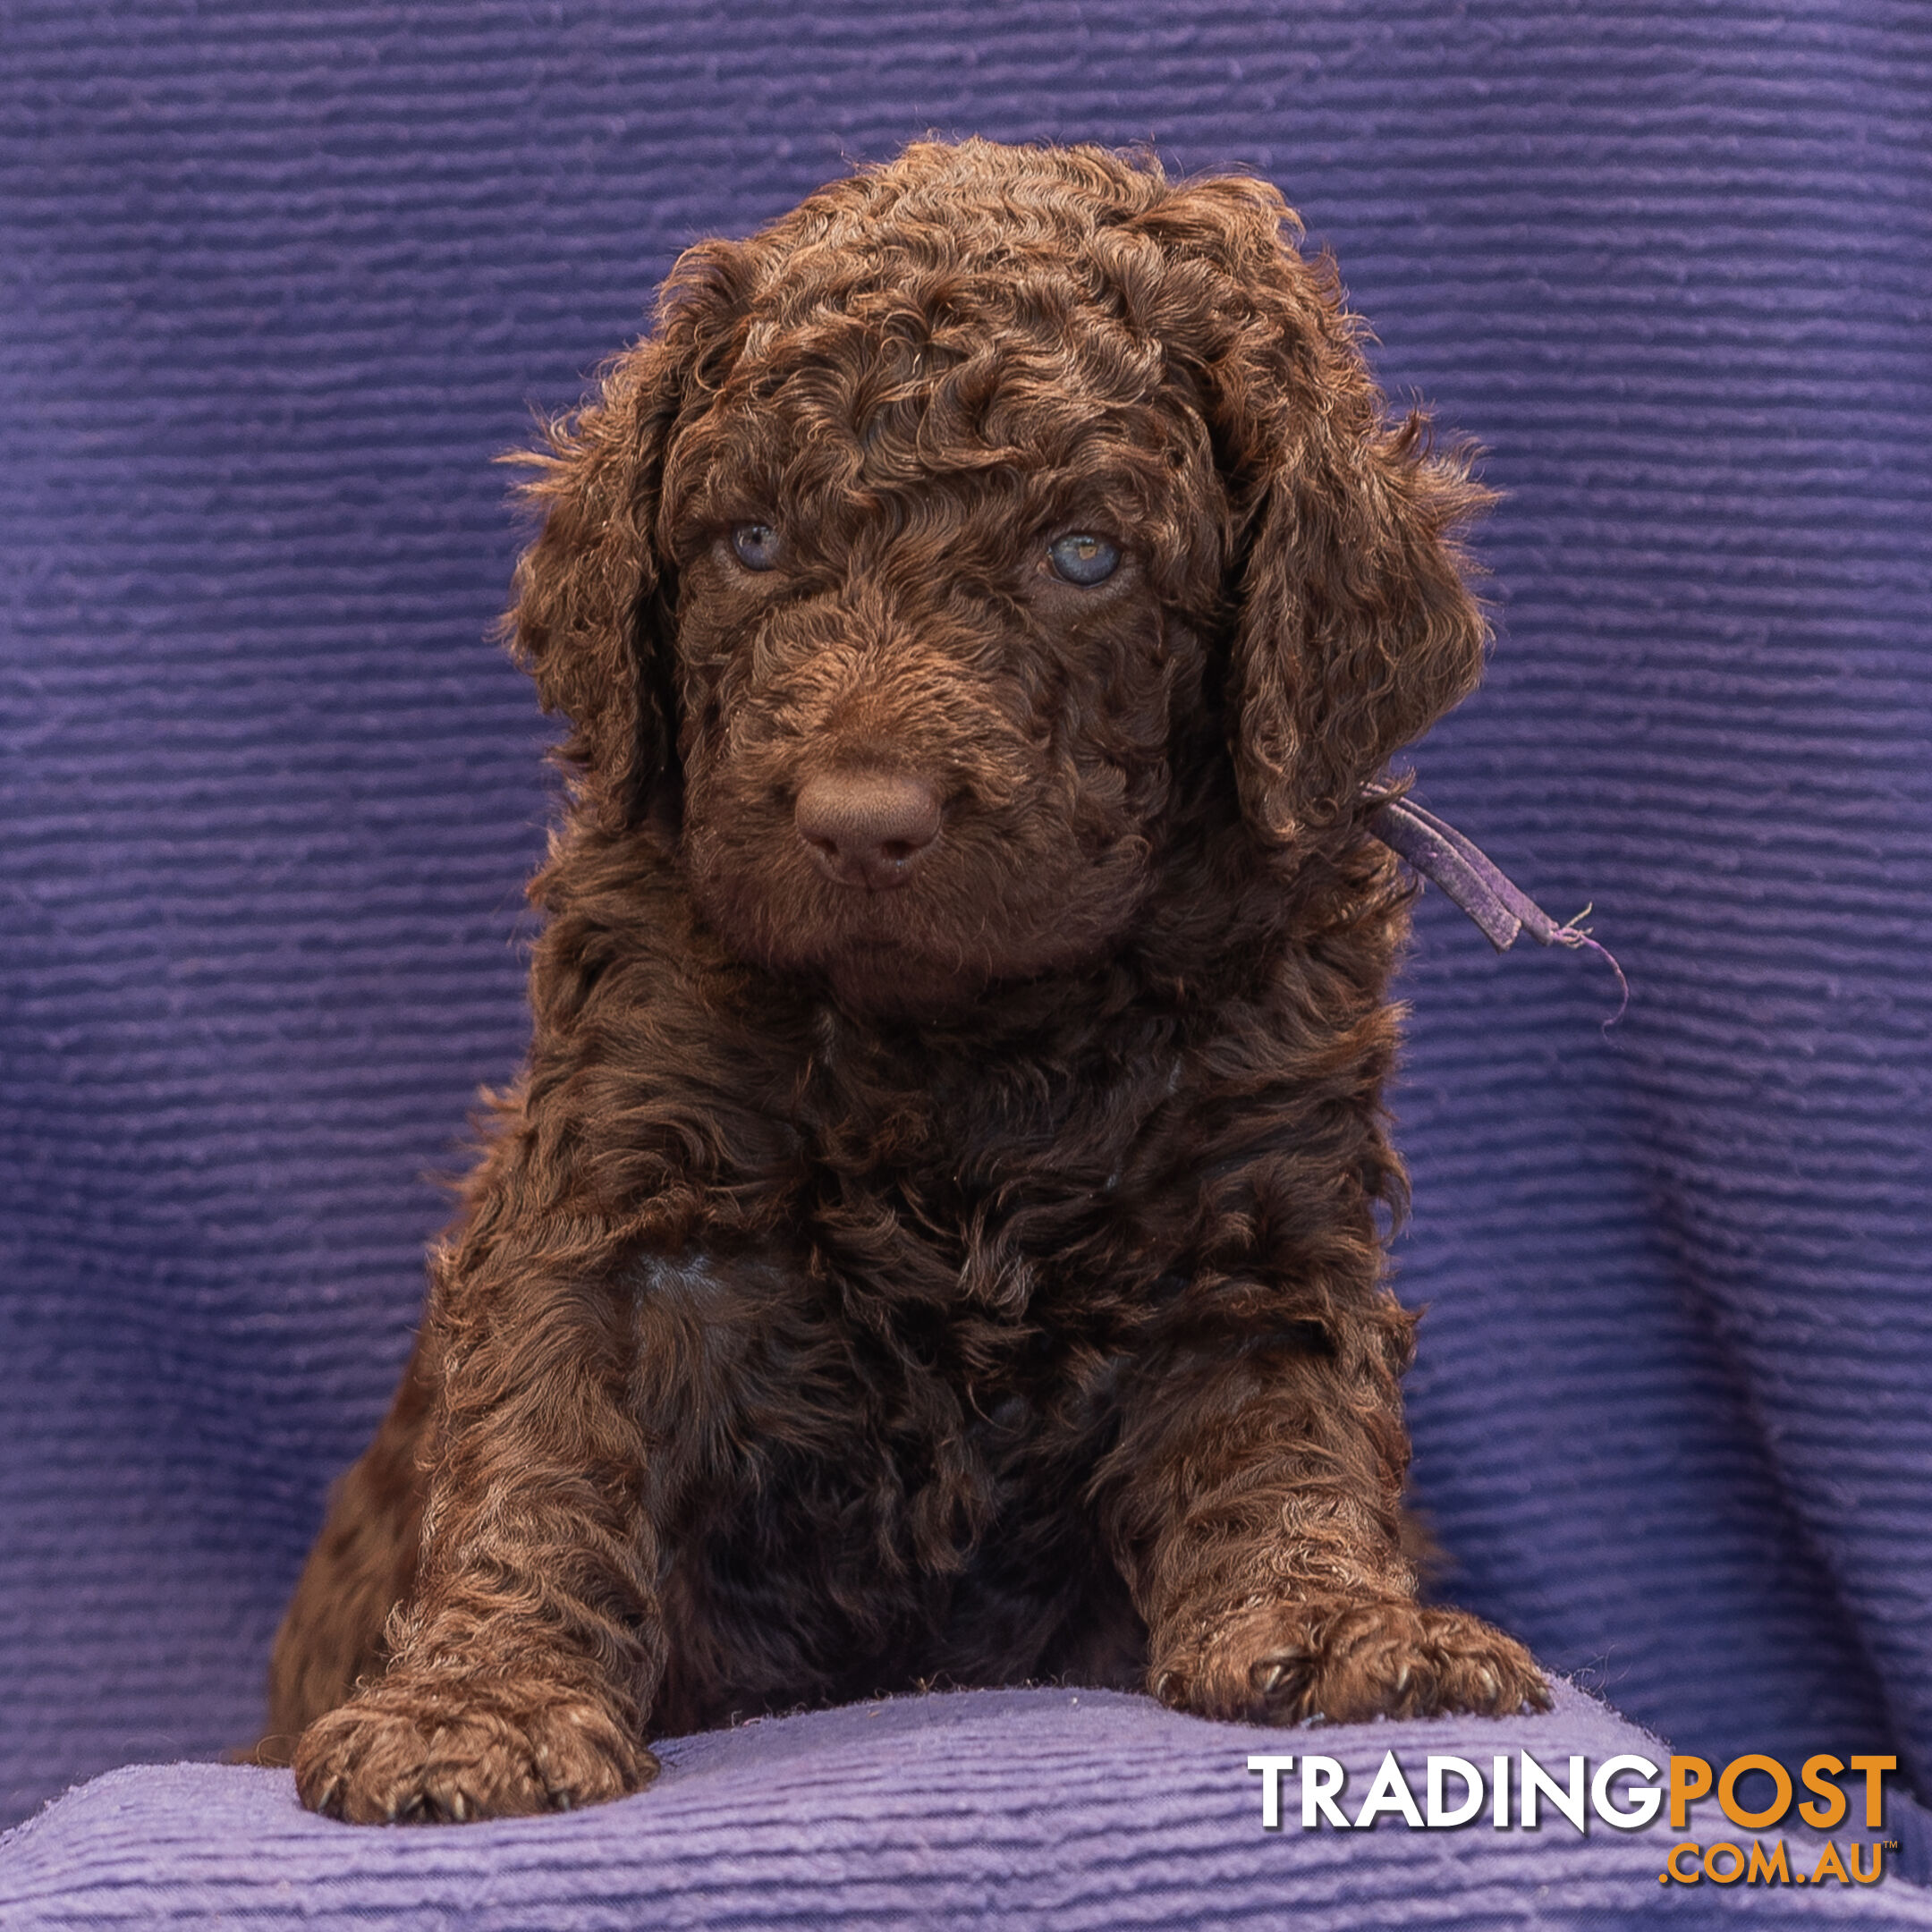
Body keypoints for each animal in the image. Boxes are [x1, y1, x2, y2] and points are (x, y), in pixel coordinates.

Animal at [264, 140, 1546, 1824]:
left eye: (1083, 556)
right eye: (750, 546)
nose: (860, 820)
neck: (965, 1047)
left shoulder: (1256, 1206)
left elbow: (1282, 1431)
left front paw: (1335, 1621)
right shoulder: (616, 1181)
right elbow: (543, 1446)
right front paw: (479, 1704)